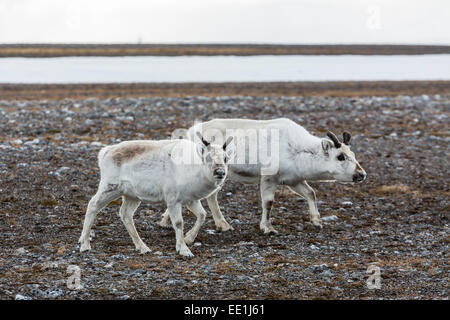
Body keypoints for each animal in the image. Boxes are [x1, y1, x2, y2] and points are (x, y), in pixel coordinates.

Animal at [78, 134, 232, 258]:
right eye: (208, 157)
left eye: (226, 158)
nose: (220, 172)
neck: (193, 167)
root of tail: (105, 152)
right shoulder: (173, 200)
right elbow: (178, 223)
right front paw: (184, 249)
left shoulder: (191, 199)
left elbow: (202, 215)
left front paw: (188, 239)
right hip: (110, 187)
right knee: (92, 205)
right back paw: (85, 245)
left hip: (131, 196)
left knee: (125, 214)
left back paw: (143, 247)